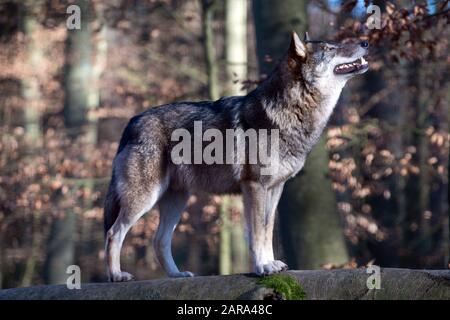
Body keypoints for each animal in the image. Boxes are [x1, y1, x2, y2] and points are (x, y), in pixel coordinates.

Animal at [104, 30, 370, 280]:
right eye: (329, 48)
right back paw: (116, 275)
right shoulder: (254, 187)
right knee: (113, 233)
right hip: (145, 199)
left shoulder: (275, 189)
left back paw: (177, 275)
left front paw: (271, 264)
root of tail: (132, 122)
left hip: (177, 200)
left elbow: (266, 230)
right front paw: (262, 267)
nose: (366, 42)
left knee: (159, 241)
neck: (287, 112)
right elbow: (257, 233)